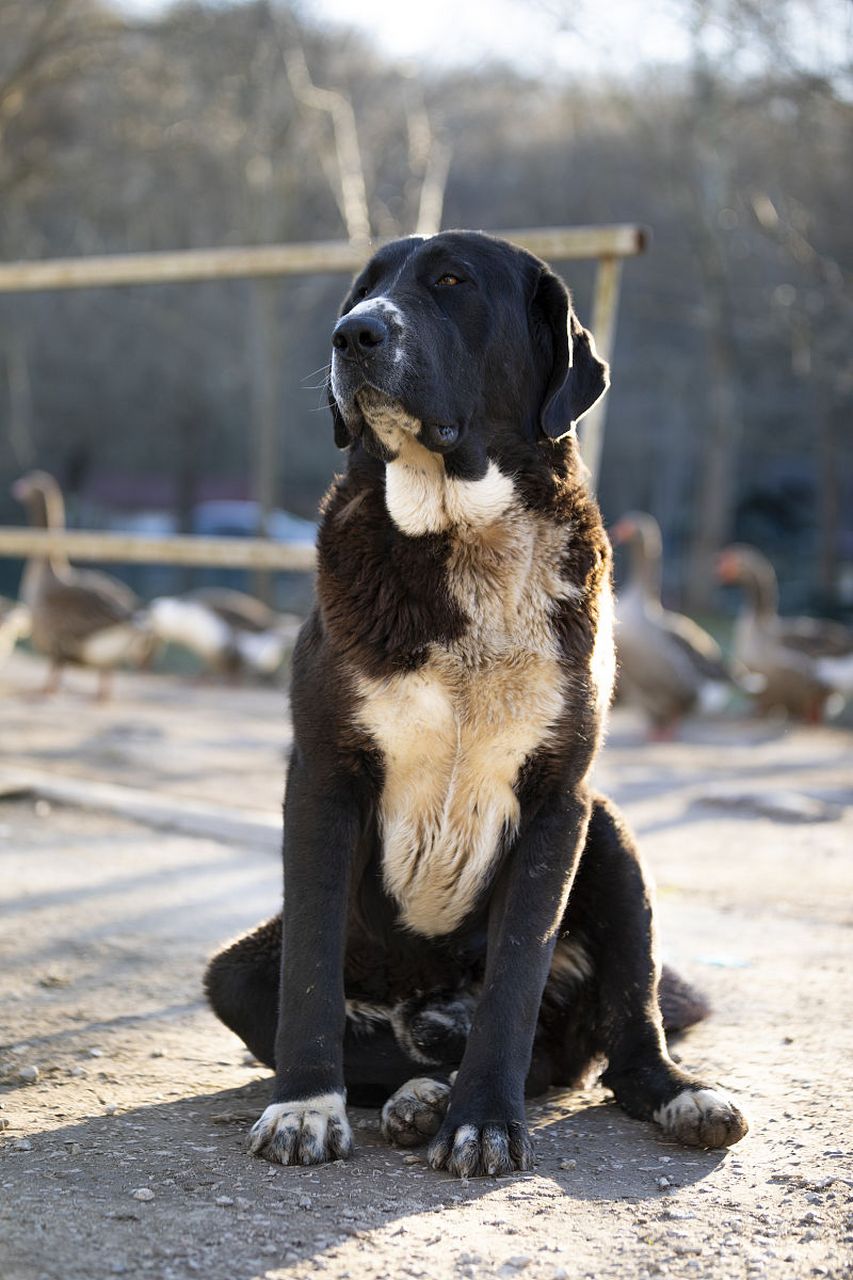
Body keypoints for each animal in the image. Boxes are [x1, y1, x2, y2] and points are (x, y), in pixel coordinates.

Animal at [204, 232, 742, 1177]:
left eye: (450, 282)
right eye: (365, 286)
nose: (352, 333)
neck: (457, 531)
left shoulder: (559, 799)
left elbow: (514, 988)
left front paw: (482, 1118)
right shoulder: (324, 778)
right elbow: (309, 978)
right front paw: (306, 1107)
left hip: (611, 838)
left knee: (614, 1039)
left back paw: (672, 1094)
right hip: (235, 972)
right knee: (377, 1032)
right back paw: (416, 1089)